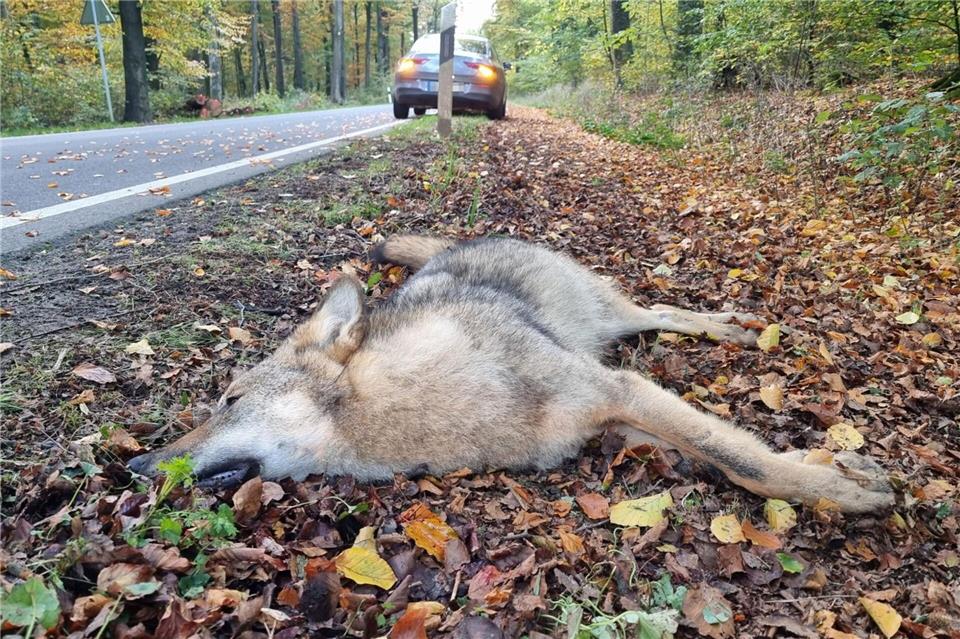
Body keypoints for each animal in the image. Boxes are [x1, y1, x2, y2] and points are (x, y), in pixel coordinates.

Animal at [128, 235, 894, 513]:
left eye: (228, 400)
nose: (133, 467)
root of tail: (467, 239)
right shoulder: (619, 419)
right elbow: (726, 450)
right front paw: (831, 467)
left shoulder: (615, 389)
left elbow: (748, 462)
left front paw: (840, 490)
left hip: (610, 320)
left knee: (662, 309)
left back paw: (732, 327)